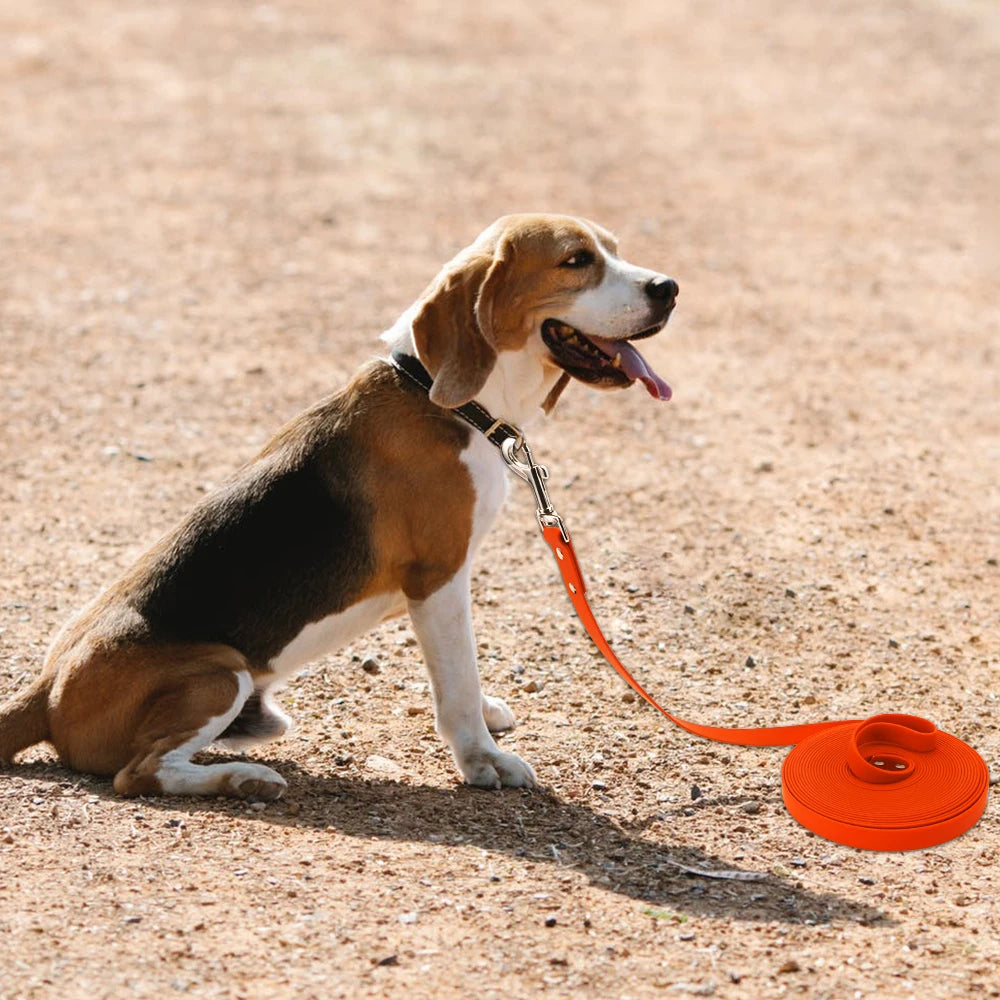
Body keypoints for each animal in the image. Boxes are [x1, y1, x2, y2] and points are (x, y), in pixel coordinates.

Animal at [0, 215, 680, 800]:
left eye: (614, 248)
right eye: (576, 260)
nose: (669, 289)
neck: (439, 396)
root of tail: (44, 691)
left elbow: (465, 673)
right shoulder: (438, 578)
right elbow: (458, 679)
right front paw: (481, 757)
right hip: (220, 674)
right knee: (138, 774)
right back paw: (243, 780)